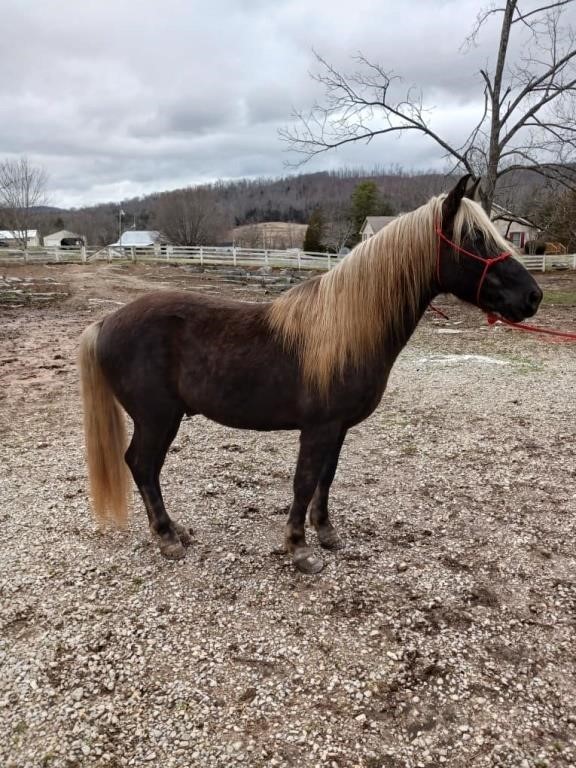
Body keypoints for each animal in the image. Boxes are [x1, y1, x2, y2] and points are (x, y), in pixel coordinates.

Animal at [79, 177, 544, 572]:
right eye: (476, 238)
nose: (532, 296)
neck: (346, 327)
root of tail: (106, 322)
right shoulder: (318, 427)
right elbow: (303, 482)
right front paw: (299, 548)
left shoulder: (338, 428)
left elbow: (326, 478)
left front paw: (326, 533)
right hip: (158, 418)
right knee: (143, 465)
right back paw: (167, 537)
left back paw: (176, 531)